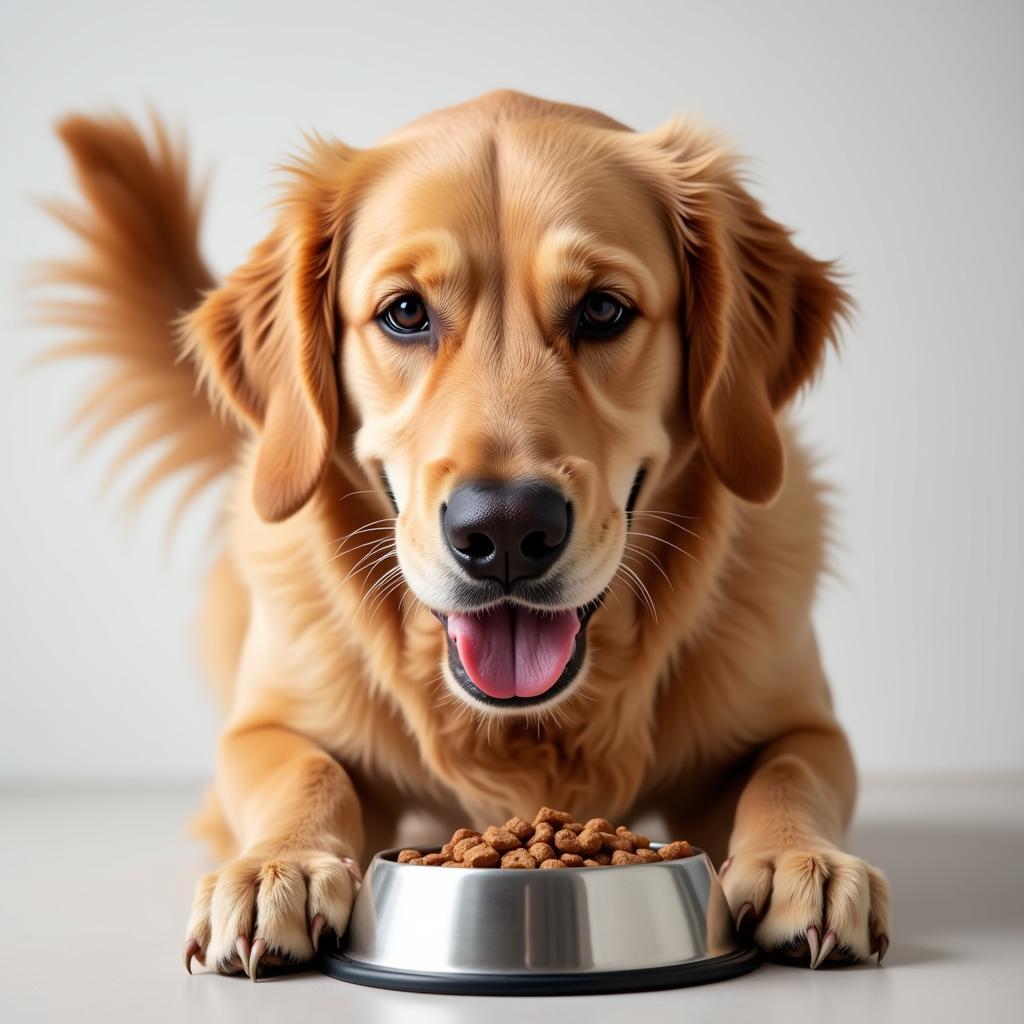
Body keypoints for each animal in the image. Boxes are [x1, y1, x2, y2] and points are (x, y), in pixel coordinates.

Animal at [41, 90, 888, 974]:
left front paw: (803, 861)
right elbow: (303, 771)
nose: (507, 528)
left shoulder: (807, 724)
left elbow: (788, 771)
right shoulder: (263, 728)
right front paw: (280, 866)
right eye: (405, 312)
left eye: (604, 309)